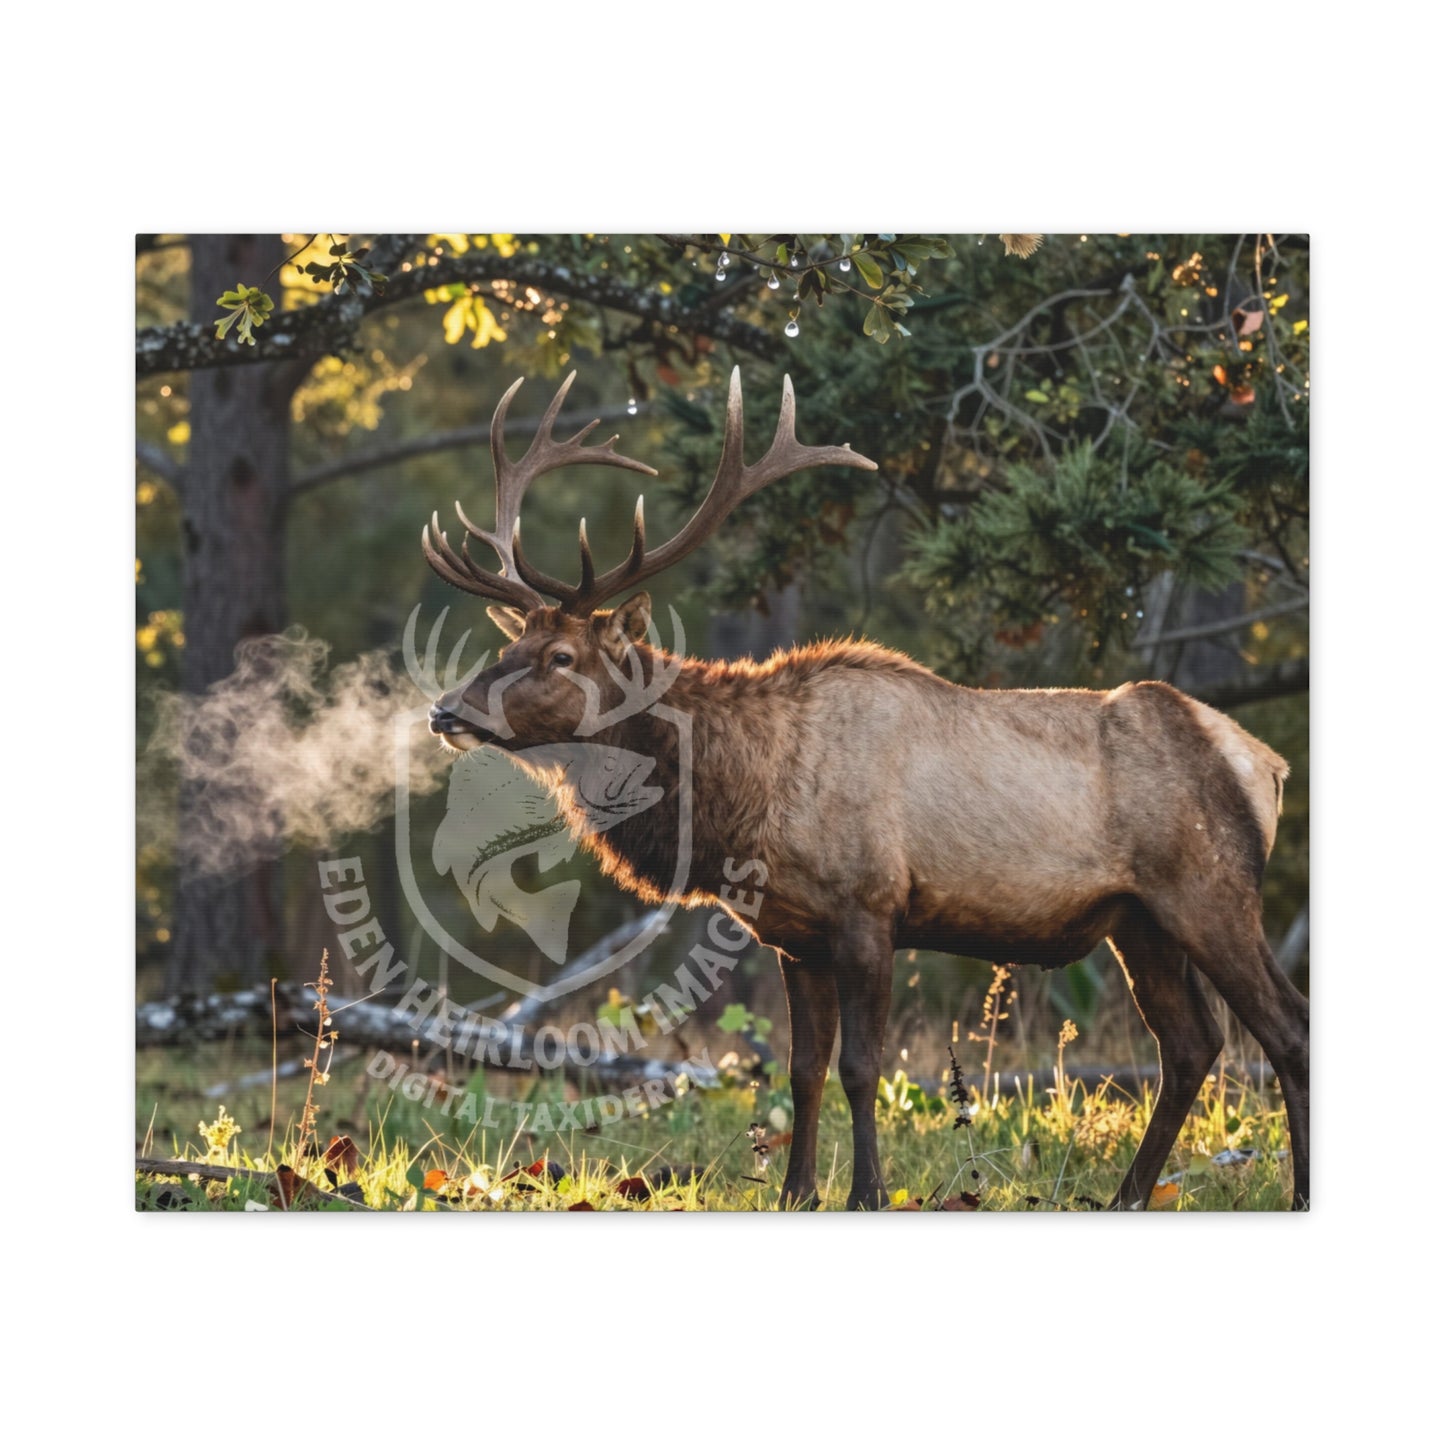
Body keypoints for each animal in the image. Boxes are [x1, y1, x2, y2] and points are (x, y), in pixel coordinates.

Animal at [420, 368, 1309, 1211]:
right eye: (513, 645)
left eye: (561, 657)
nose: (445, 709)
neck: (745, 798)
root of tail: (1266, 765)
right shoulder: (794, 934)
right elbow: (801, 1067)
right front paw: (796, 1191)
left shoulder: (868, 907)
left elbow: (861, 1065)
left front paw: (867, 1191)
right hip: (1139, 919)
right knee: (1190, 1043)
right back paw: (1126, 1193)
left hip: (1209, 889)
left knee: (1286, 1026)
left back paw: (1294, 1189)